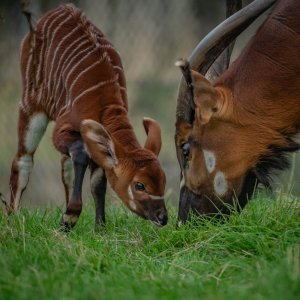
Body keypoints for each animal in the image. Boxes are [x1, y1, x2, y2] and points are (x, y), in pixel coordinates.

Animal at [9, 4, 169, 230]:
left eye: (163, 180)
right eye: (140, 185)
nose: (163, 217)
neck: (105, 103)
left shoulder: (96, 145)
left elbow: (97, 182)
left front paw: (99, 227)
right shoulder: (63, 130)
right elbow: (80, 153)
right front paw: (69, 217)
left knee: (64, 165)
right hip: (31, 106)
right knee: (23, 160)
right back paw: (12, 219)